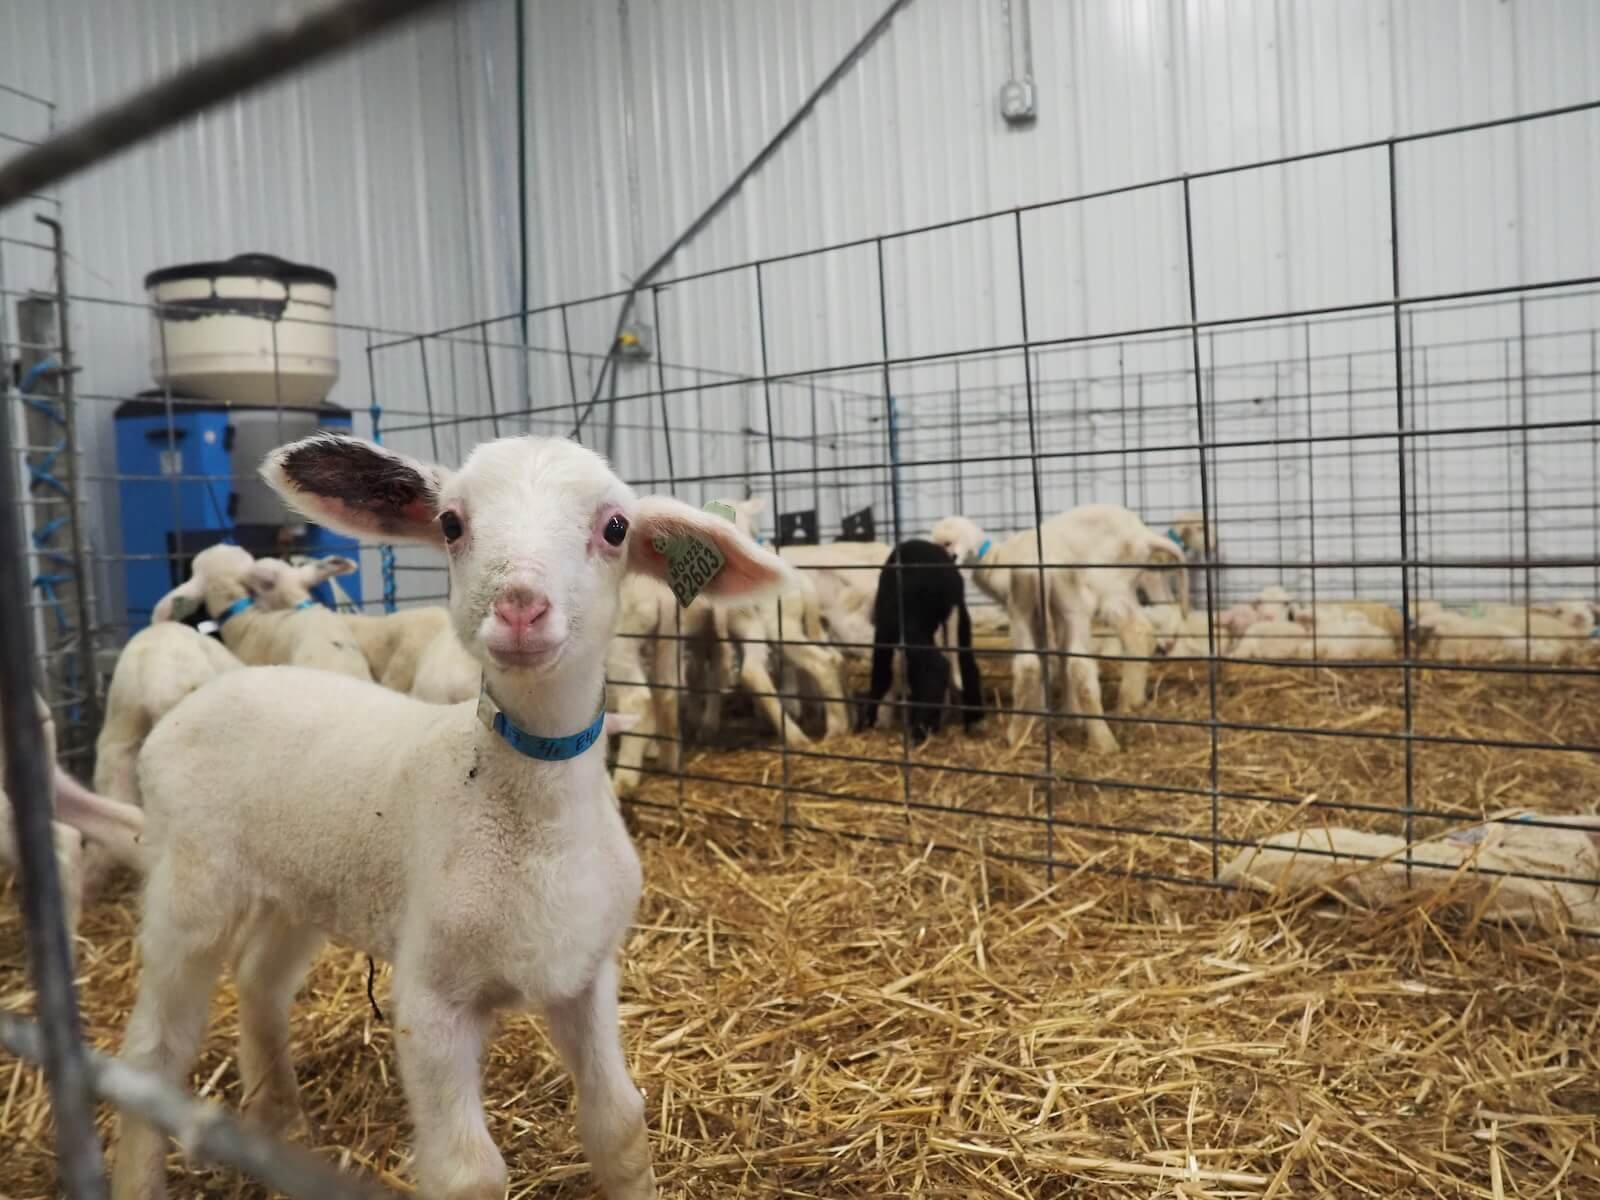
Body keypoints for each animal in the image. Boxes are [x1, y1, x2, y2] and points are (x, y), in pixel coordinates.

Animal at [855, 539, 982, 741]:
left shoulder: (886, 636)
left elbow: (881, 677)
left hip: (911, 622)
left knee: (937, 666)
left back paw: (918, 734)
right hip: (961, 618)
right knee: (967, 664)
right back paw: (974, 722)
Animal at [931, 505, 1188, 753]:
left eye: (947, 543)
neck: (996, 559)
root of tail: (1142, 534)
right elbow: (1060, 658)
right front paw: (1066, 713)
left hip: (1107, 586)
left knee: (1134, 633)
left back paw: (1123, 706)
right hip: (1107, 590)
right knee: (1133, 634)